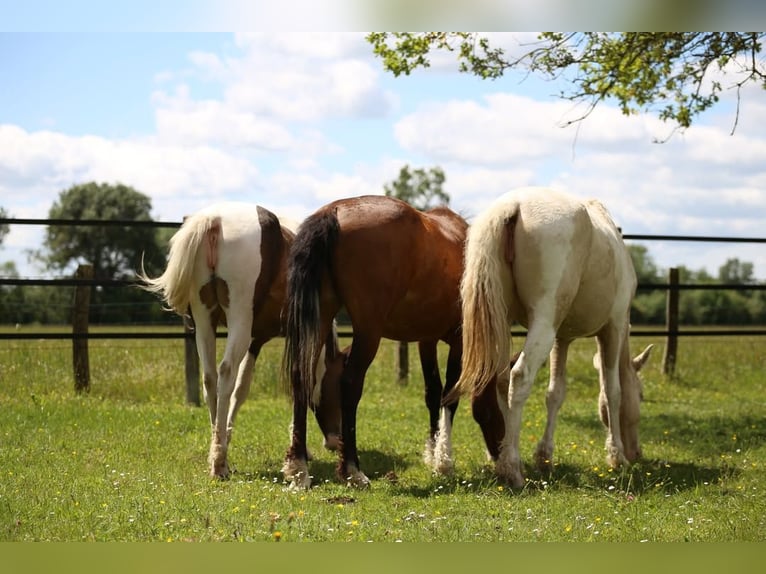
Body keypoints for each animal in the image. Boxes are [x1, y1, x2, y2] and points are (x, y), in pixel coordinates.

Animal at [138, 202, 340, 478]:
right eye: (339, 383)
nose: (334, 441)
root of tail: (214, 220)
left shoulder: (255, 340)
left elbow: (241, 388)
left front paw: (227, 435)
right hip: (238, 321)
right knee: (225, 373)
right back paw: (219, 462)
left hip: (204, 321)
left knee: (210, 378)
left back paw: (217, 451)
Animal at [282, 195, 468, 489]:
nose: (332, 438)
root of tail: (333, 212)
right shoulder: (458, 340)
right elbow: (449, 395)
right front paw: (443, 461)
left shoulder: (425, 340)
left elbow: (432, 392)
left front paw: (432, 452)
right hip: (369, 331)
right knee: (350, 383)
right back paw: (352, 470)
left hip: (322, 316)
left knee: (302, 375)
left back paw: (299, 468)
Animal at [444, 187, 653, 488]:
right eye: (641, 394)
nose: (637, 452)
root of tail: (513, 206)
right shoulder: (613, 328)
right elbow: (612, 392)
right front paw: (617, 456)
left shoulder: (561, 339)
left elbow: (555, 393)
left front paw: (544, 457)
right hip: (543, 323)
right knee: (520, 377)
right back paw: (512, 468)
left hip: (506, 322)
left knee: (502, 380)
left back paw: (506, 457)